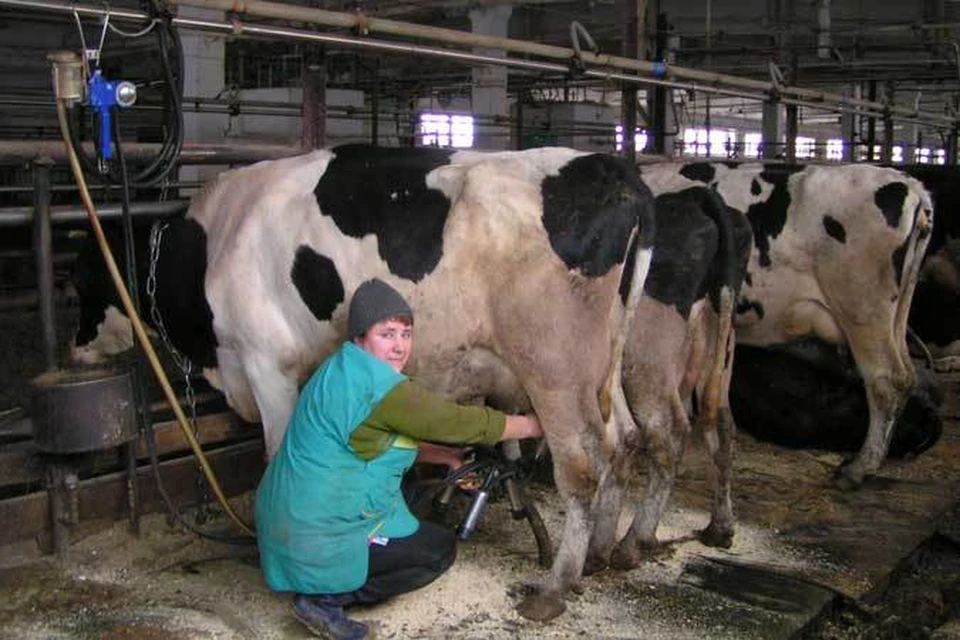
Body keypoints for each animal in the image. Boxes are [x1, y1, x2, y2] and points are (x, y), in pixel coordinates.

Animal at [73, 144, 660, 620]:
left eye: (78, 280)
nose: (75, 349)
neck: (215, 241)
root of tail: (613, 171)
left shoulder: (267, 363)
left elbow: (276, 458)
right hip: (605, 364)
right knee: (625, 443)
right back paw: (601, 553)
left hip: (555, 367)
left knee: (583, 466)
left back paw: (554, 587)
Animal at [632, 161, 932, 490]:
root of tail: (910, 184)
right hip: (895, 314)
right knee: (906, 376)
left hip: (863, 309)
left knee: (885, 381)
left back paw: (859, 468)